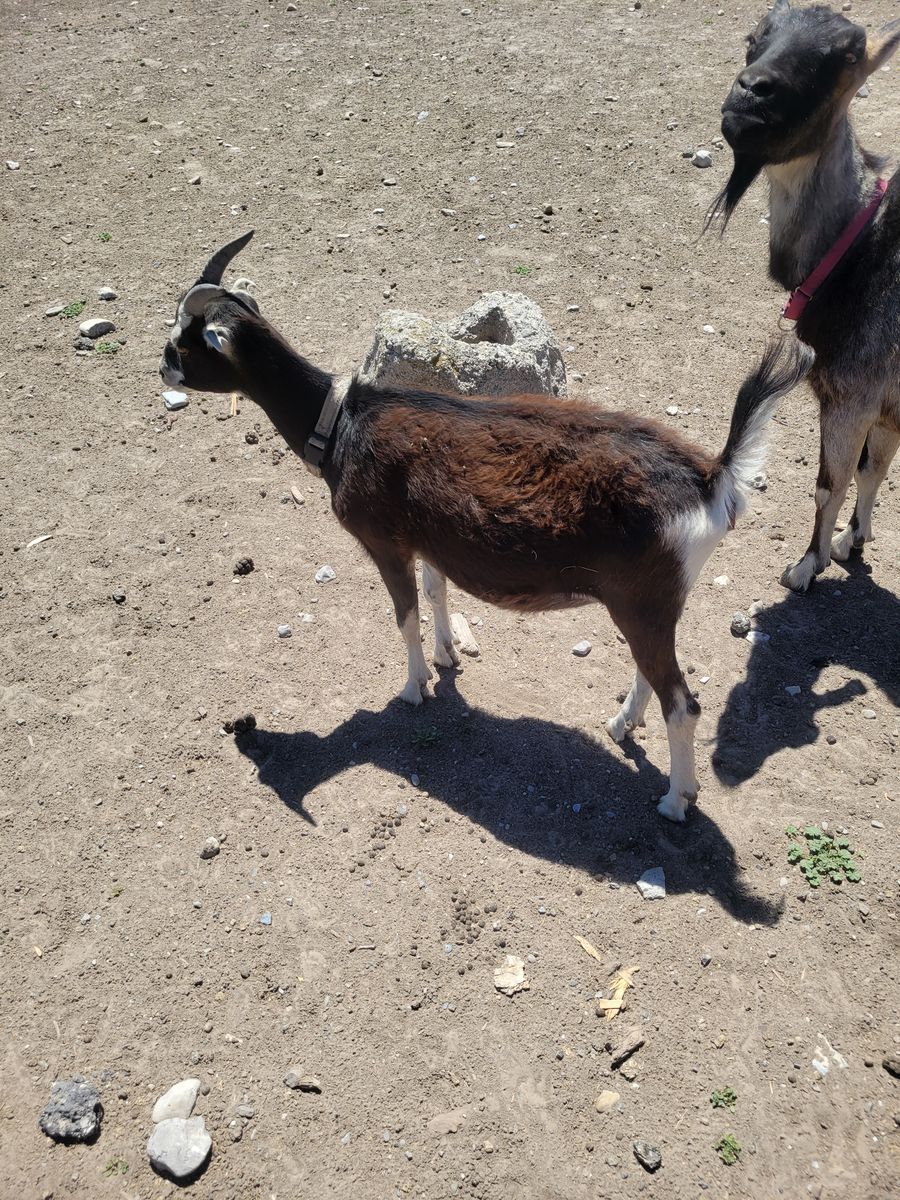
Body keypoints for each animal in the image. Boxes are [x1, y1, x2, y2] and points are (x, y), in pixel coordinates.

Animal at [159, 232, 812, 822]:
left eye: (187, 342)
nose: (161, 368)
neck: (342, 423)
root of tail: (711, 476)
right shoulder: (425, 539)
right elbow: (435, 590)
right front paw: (448, 656)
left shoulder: (383, 541)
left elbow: (405, 615)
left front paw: (414, 687)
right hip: (650, 604)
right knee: (655, 675)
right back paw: (621, 725)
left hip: (643, 600)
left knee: (684, 704)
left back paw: (676, 800)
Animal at [709, 0, 900, 593]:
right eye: (754, 38)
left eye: (846, 57)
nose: (751, 92)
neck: (860, 243)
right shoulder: (884, 403)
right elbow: (872, 468)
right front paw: (850, 540)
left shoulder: (853, 393)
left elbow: (828, 483)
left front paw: (805, 565)